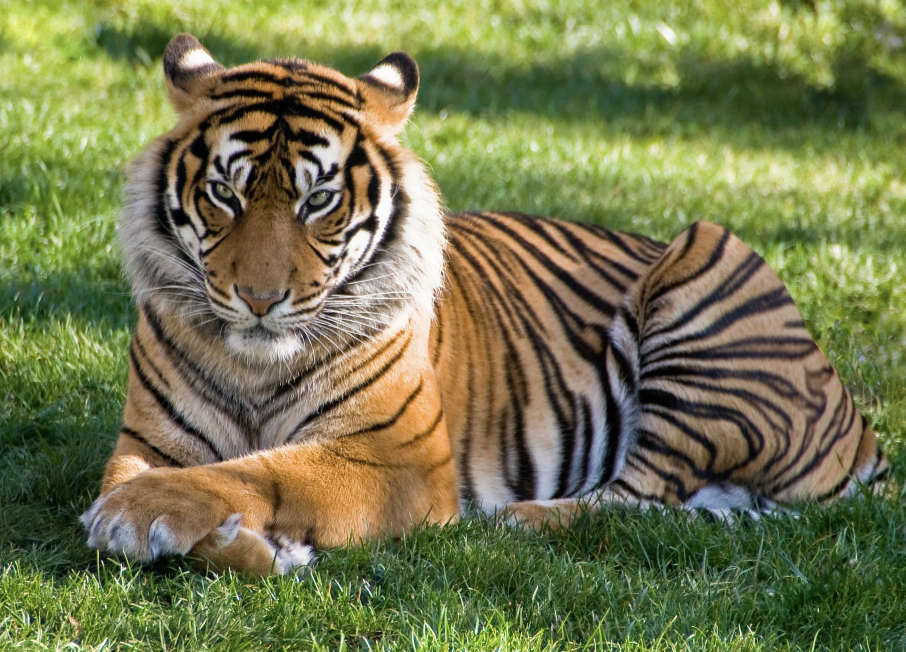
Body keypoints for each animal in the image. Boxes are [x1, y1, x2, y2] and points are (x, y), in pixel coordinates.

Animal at [80, 33, 889, 576]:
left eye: (319, 201)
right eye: (225, 193)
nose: (258, 299)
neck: (256, 365)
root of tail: (861, 429)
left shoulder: (397, 459)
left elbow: (262, 470)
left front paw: (139, 516)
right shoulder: (148, 440)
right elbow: (170, 477)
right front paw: (238, 543)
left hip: (707, 255)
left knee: (641, 495)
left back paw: (517, 519)